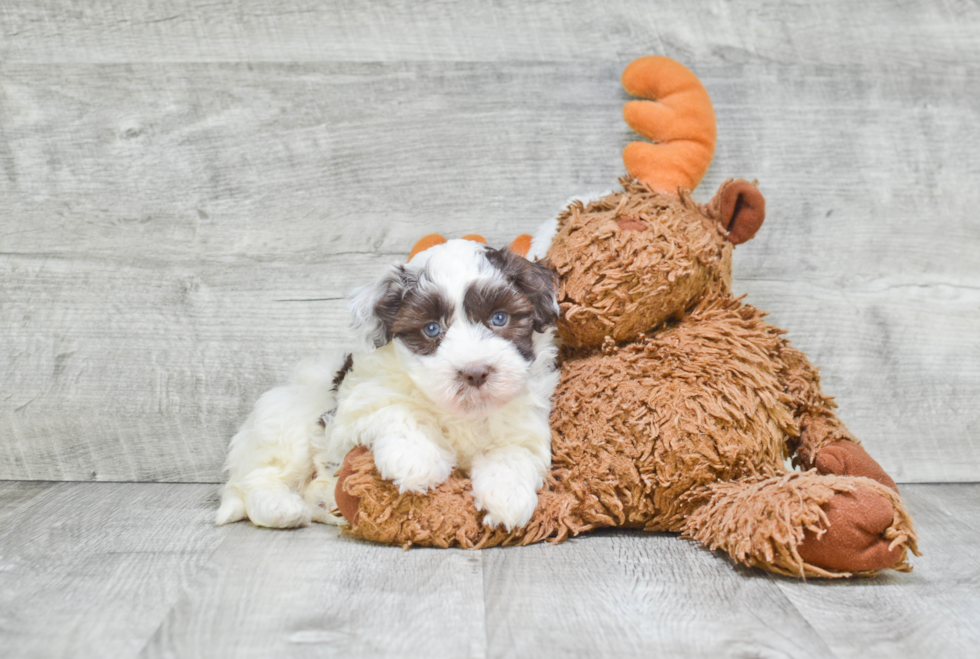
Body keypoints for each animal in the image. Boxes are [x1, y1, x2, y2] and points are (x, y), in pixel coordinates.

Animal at [220, 240, 560, 532]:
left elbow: (514, 452)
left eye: (499, 318)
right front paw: (416, 460)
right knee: (256, 479)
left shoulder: (523, 425)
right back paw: (282, 509)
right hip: (288, 426)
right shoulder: (350, 413)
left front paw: (508, 496)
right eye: (431, 329)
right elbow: (398, 409)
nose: (475, 373)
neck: (462, 412)